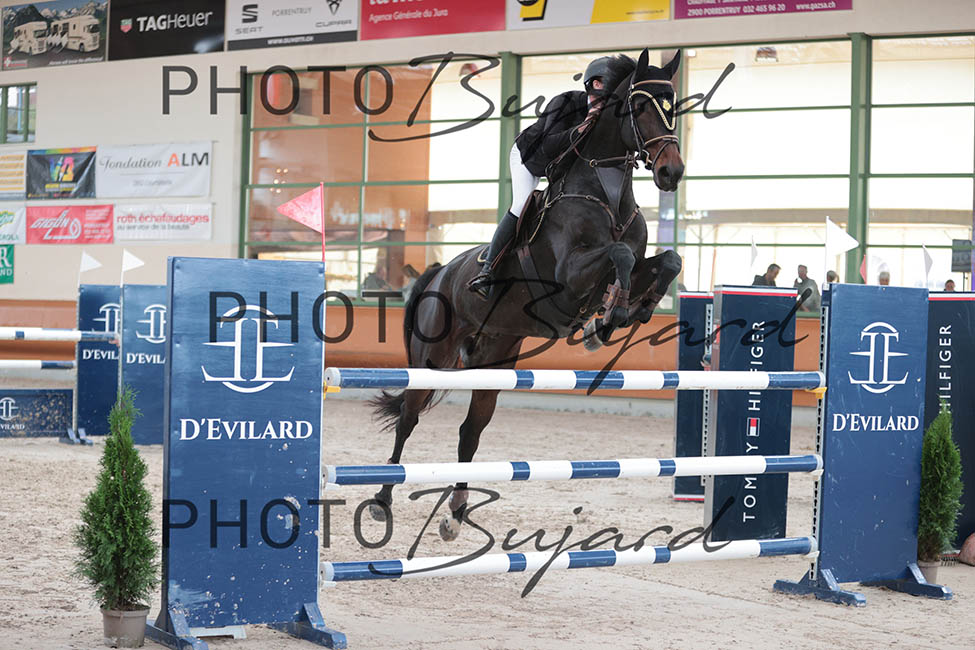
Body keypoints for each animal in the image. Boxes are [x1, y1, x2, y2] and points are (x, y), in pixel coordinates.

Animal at [369, 48, 685, 540]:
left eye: (673, 106)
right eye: (638, 106)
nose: (672, 171)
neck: (606, 193)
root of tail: (438, 274)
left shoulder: (632, 263)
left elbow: (667, 261)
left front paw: (627, 313)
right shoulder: (569, 279)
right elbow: (617, 255)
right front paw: (605, 320)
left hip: (494, 361)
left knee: (470, 432)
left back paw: (455, 513)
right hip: (431, 359)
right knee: (409, 419)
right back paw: (382, 502)